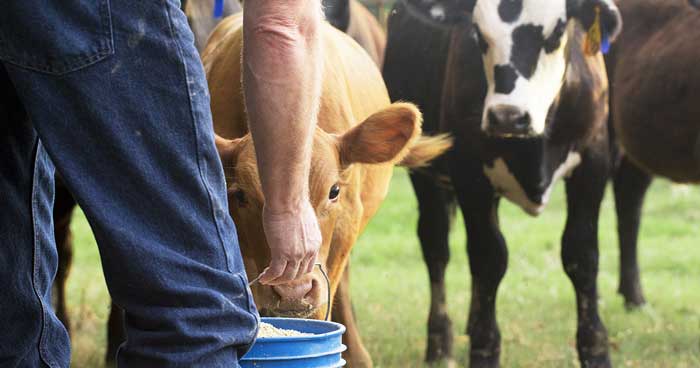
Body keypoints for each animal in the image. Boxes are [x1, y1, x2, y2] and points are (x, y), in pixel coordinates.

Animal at [386, 0, 620, 368]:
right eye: (478, 33)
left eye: (557, 31)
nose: (508, 116)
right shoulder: (470, 174)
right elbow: (488, 259)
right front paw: (483, 348)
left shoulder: (594, 163)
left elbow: (582, 255)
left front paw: (595, 348)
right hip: (424, 172)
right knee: (436, 246)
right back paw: (440, 341)